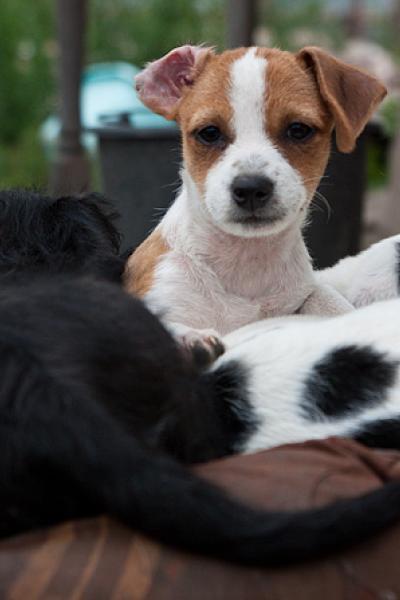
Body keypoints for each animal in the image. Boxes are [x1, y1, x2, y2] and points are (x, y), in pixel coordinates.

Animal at [124, 45, 387, 362]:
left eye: (298, 129)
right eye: (209, 133)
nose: (250, 188)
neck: (246, 264)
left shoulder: (303, 293)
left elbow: (326, 299)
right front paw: (190, 338)